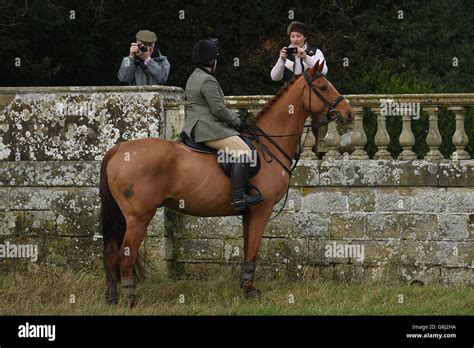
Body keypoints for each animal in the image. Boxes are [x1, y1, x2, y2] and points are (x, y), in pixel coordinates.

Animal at [100, 61, 352, 306]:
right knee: (125, 256)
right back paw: (130, 300)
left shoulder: (249, 211)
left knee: (111, 253)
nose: (348, 113)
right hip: (139, 217)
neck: (267, 144)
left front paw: (245, 286)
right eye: (323, 87)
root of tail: (118, 149)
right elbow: (253, 249)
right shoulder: (262, 208)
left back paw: (112, 297)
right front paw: (250, 291)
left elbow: (247, 248)